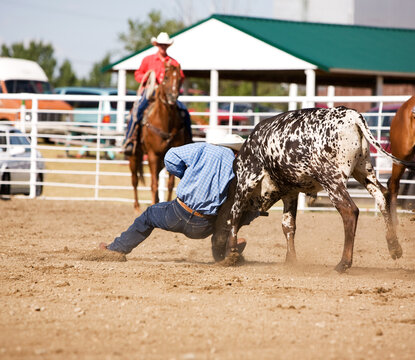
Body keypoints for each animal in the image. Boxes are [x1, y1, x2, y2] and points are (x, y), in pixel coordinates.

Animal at [128, 63, 190, 212]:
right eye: (166, 77)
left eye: (180, 79)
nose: (173, 96)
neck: (165, 122)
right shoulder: (152, 155)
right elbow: (154, 184)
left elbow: (170, 185)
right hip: (135, 156)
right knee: (135, 180)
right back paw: (137, 206)